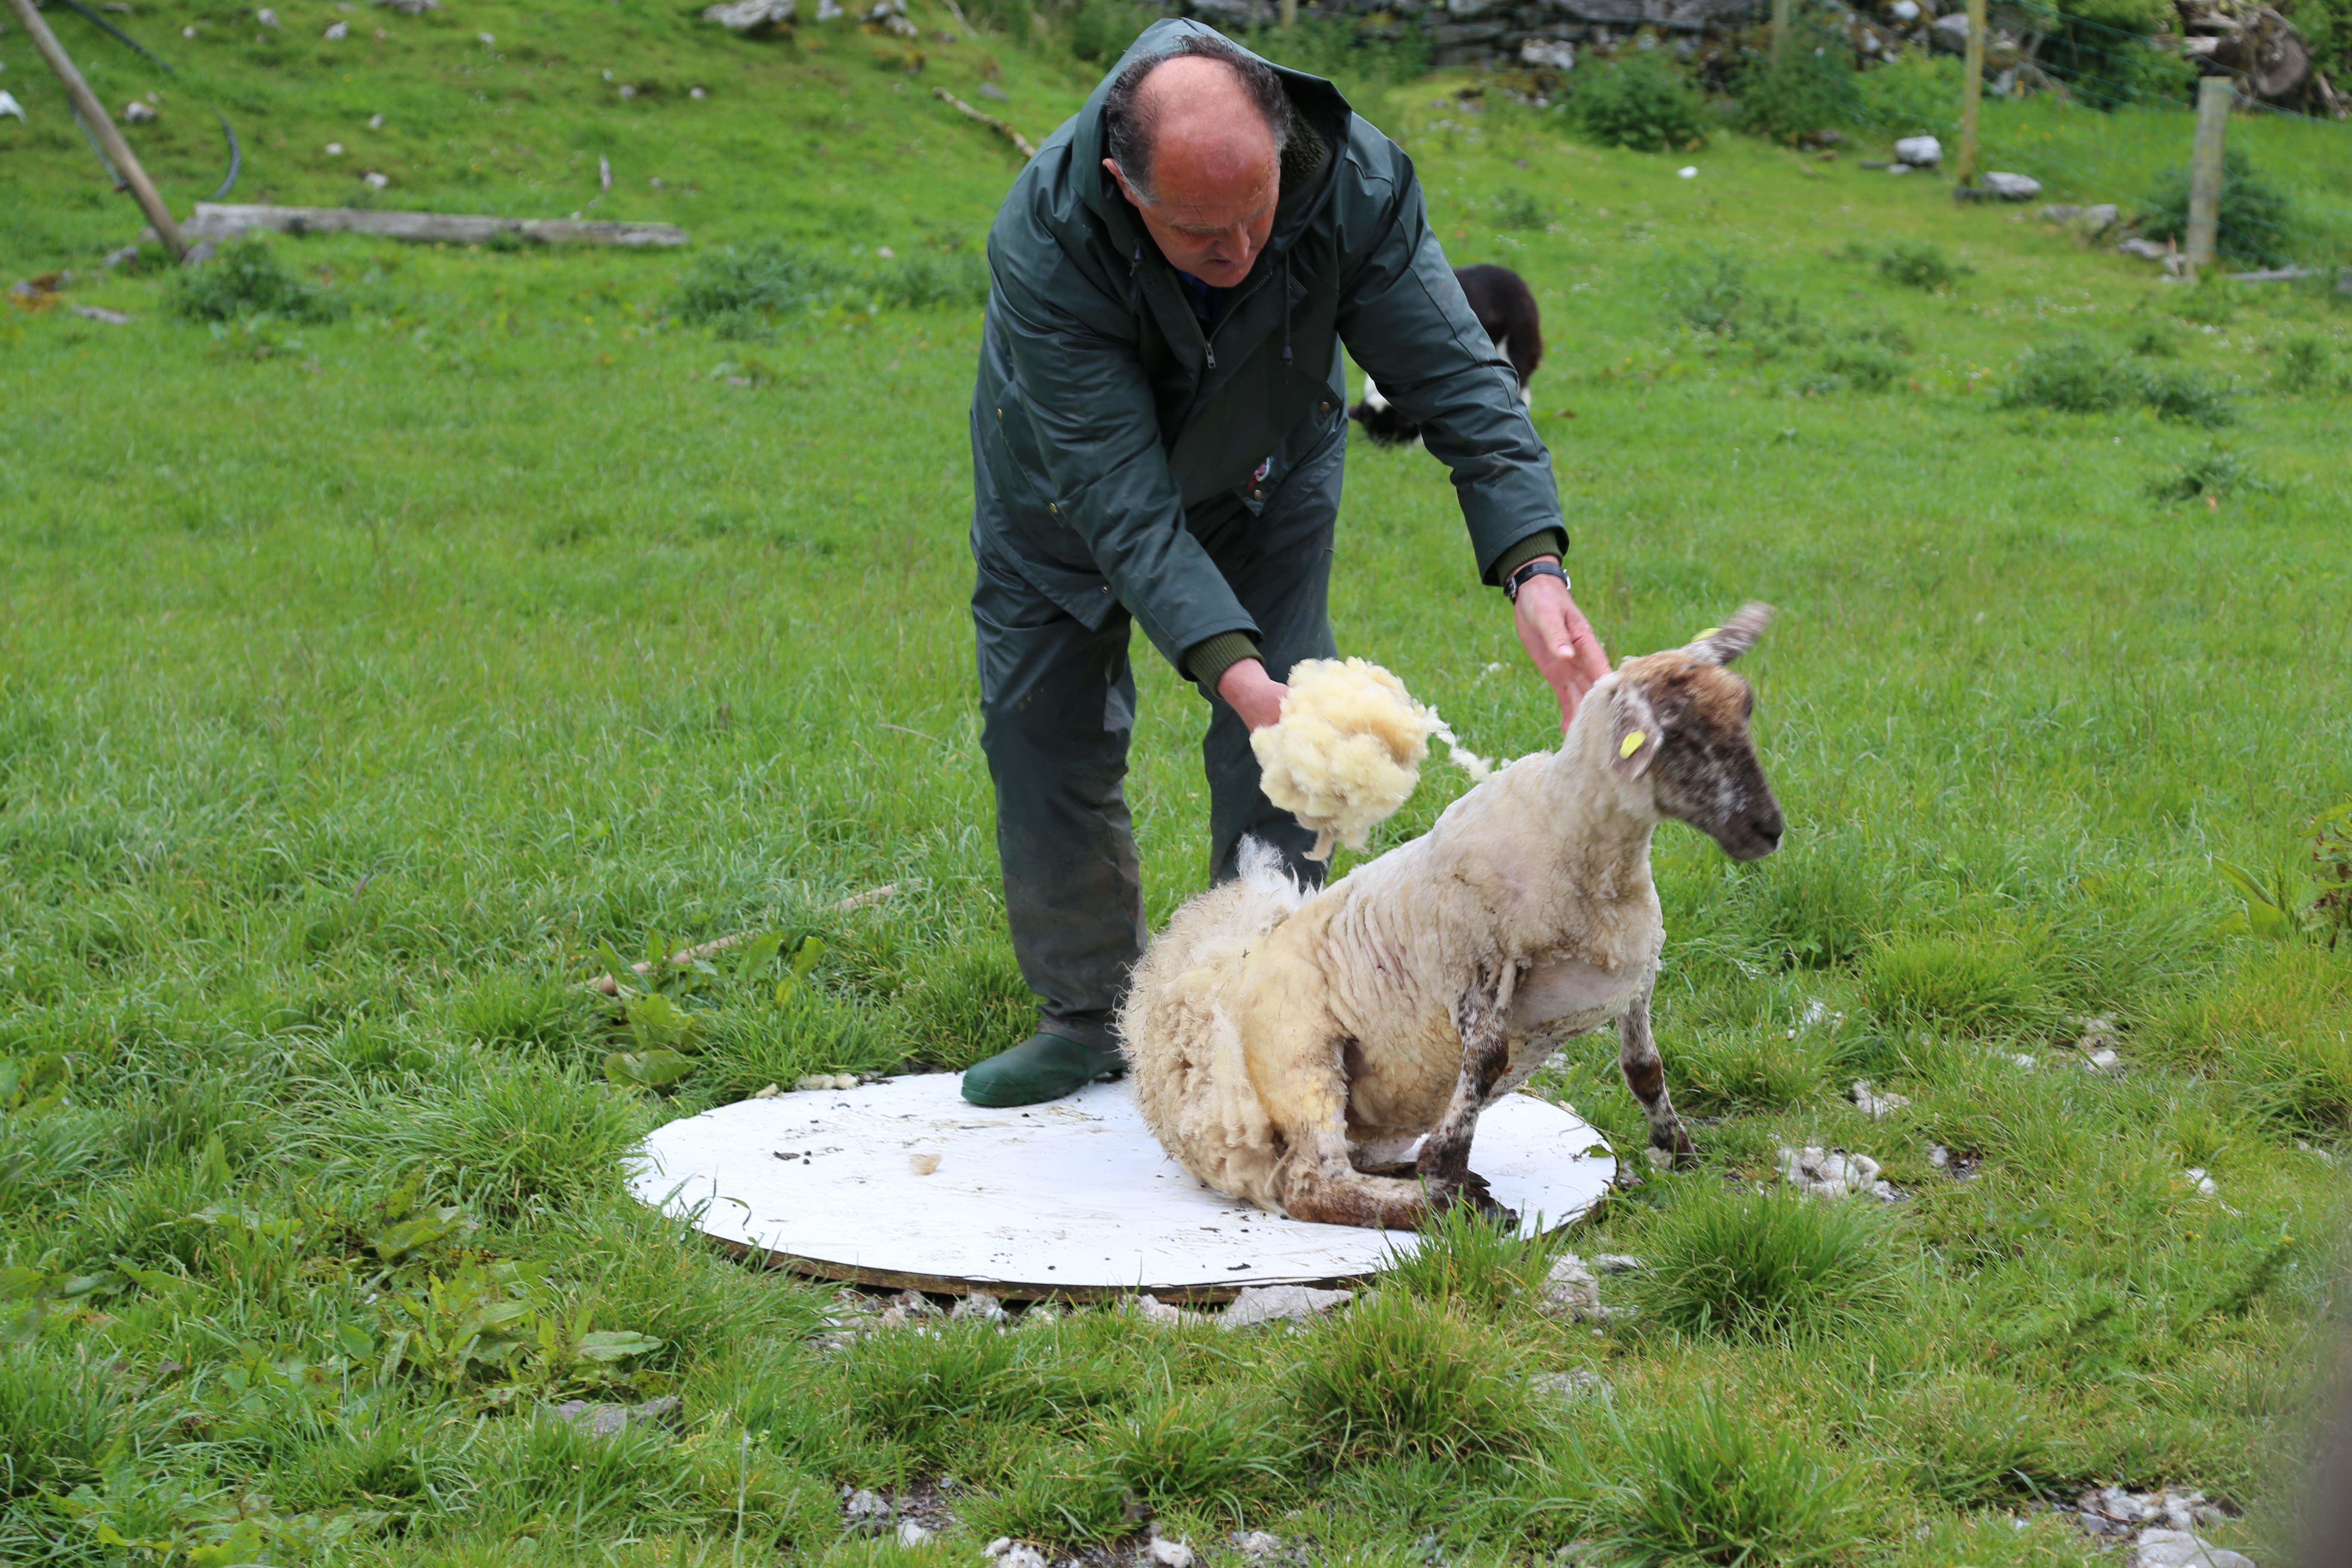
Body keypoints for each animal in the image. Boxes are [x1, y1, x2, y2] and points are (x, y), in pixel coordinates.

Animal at [1119, 606, 1778, 1231]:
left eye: (1745, 709)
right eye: (1679, 733)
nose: (1769, 828)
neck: (1571, 838)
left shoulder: (1635, 977)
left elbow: (1643, 1068)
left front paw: (1681, 1156)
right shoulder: (1475, 964)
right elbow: (1485, 1062)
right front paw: (1448, 1176)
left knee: (1344, 1164)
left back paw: (1418, 1178)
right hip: (1297, 1056)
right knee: (1313, 1184)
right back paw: (1435, 1208)